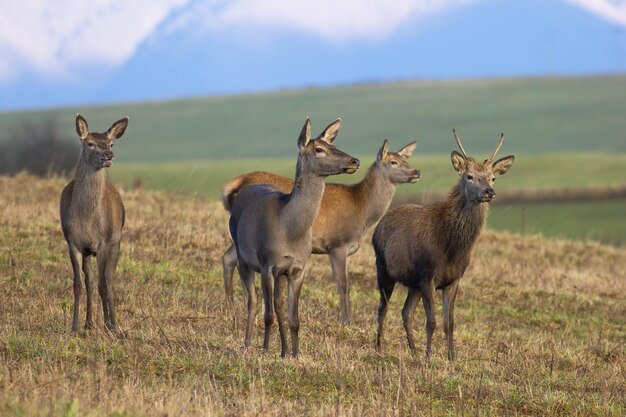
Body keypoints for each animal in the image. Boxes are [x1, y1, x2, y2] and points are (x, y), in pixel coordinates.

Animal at [59, 113, 128, 332]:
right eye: (90, 143)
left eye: (111, 143)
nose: (108, 155)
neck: (87, 220)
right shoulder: (73, 242)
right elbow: (78, 284)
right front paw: (74, 327)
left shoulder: (104, 242)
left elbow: (103, 285)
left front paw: (111, 326)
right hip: (89, 251)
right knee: (90, 281)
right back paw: (89, 323)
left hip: (115, 242)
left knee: (108, 281)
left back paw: (110, 324)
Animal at [219, 140, 420, 322]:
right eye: (393, 162)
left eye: (405, 158)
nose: (416, 172)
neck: (362, 211)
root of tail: (231, 185)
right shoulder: (337, 244)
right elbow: (343, 283)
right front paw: (346, 320)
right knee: (231, 258)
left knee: (228, 257)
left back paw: (231, 306)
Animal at [229, 116, 358, 354]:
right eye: (319, 149)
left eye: (333, 144)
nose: (355, 161)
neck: (290, 232)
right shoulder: (267, 263)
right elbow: (268, 314)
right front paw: (265, 349)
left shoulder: (298, 268)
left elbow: (294, 317)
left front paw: (295, 353)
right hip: (243, 256)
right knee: (252, 301)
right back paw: (248, 343)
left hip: (280, 272)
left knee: (277, 304)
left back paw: (283, 350)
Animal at [370, 130, 512, 360]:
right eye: (469, 176)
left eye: (493, 177)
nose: (489, 191)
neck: (451, 248)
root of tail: (377, 226)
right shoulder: (428, 275)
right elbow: (431, 322)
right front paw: (430, 358)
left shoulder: (452, 279)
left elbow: (449, 322)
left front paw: (452, 357)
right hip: (383, 269)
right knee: (383, 308)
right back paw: (379, 348)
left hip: (413, 283)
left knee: (405, 312)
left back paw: (414, 353)